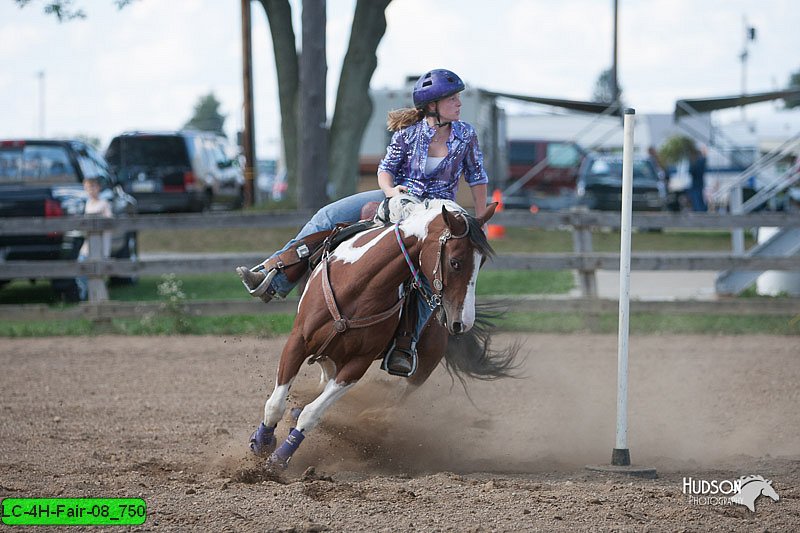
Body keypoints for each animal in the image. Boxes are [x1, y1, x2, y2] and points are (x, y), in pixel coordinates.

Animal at [248, 198, 520, 466]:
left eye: (481, 263)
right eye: (455, 262)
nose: (462, 322)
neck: (357, 285)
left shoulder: (358, 364)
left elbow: (312, 413)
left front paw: (279, 459)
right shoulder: (298, 341)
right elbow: (275, 404)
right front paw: (262, 443)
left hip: (424, 364)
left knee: (394, 399)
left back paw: (368, 423)